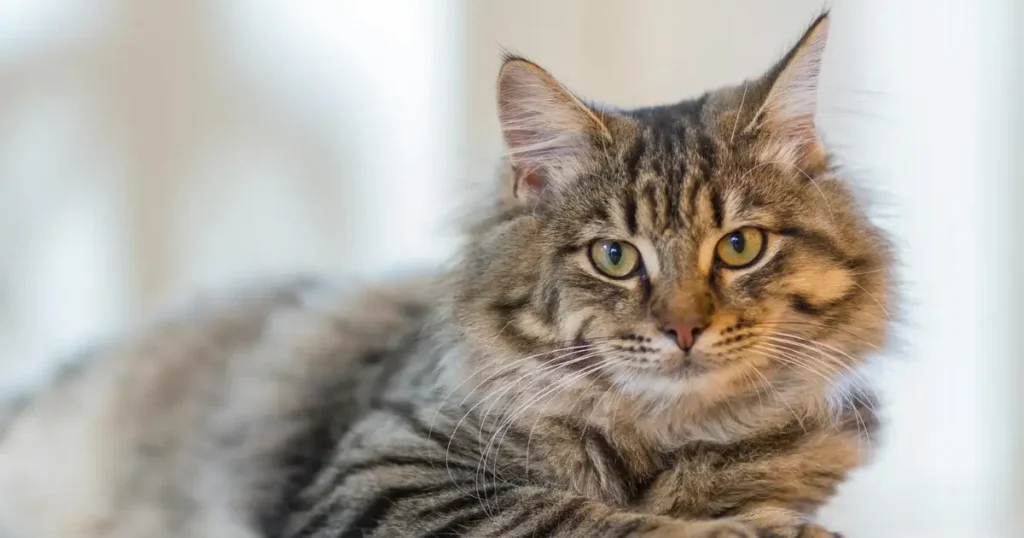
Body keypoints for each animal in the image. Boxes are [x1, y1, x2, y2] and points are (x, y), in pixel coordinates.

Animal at [0, 12, 888, 536]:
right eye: (615, 256)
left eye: (739, 247)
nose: (683, 329)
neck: (662, 444)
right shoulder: (389, 471)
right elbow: (583, 518)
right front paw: (765, 530)